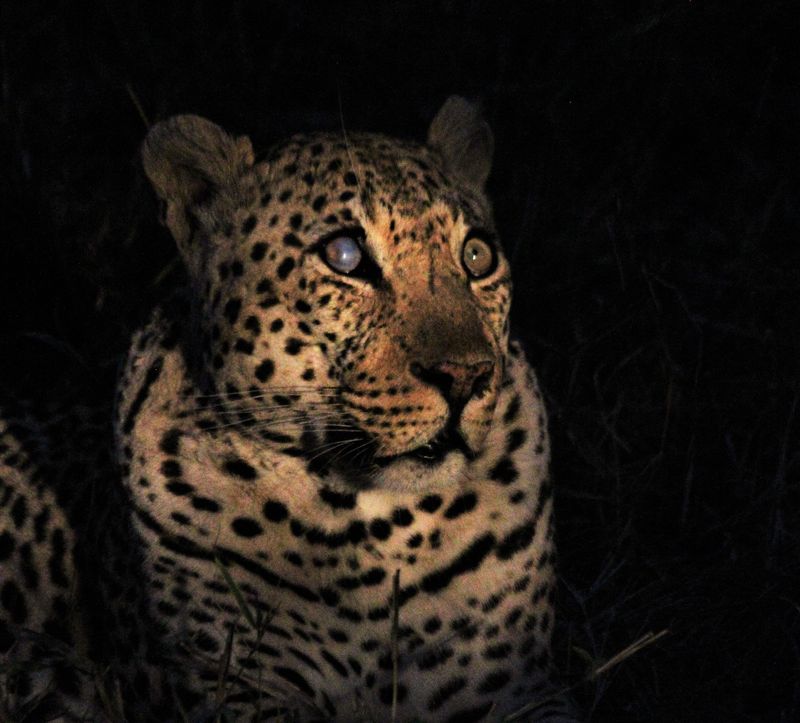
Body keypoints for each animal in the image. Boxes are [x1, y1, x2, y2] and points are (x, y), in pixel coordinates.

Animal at [0, 97, 574, 721]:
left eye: (477, 256)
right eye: (345, 257)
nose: (467, 375)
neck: (386, 528)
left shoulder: (517, 687)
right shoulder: (234, 688)